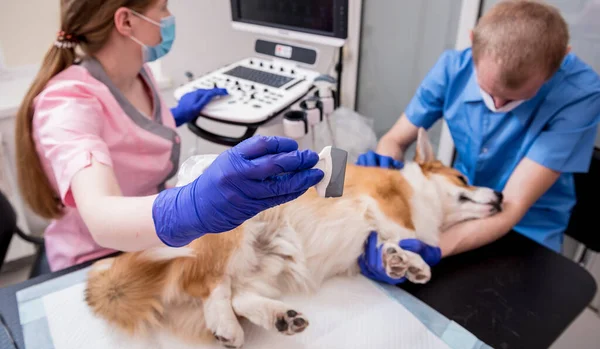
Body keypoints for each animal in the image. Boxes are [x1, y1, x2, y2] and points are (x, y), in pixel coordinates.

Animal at [84, 128, 504, 348]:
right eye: (463, 178)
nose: (501, 196)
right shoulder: (382, 203)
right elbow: (399, 230)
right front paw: (410, 255)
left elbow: (388, 244)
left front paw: (405, 263)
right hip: (234, 227)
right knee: (209, 284)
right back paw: (226, 325)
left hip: (270, 261)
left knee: (238, 294)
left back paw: (278, 317)